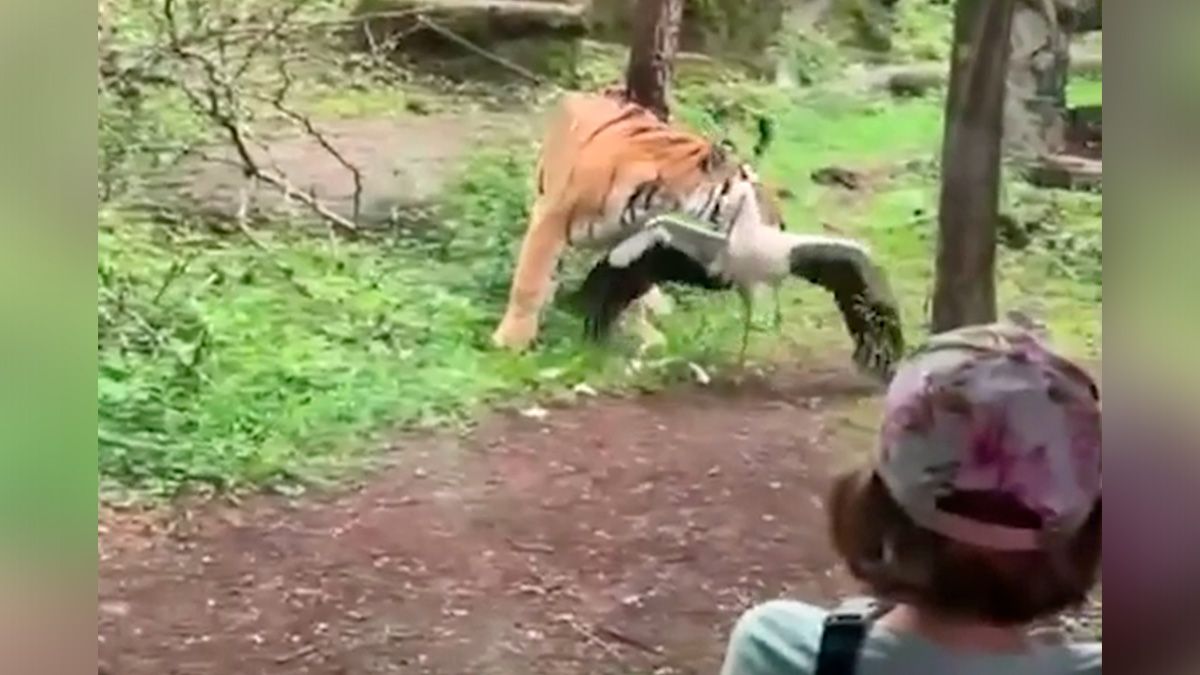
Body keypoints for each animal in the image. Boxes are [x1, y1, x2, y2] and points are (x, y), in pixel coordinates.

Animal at [491, 90, 787, 351]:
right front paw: (512, 341)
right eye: (756, 190)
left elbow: (629, 278)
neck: (664, 193)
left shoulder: (632, 235)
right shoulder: (550, 219)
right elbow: (529, 282)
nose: (782, 223)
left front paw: (638, 331)